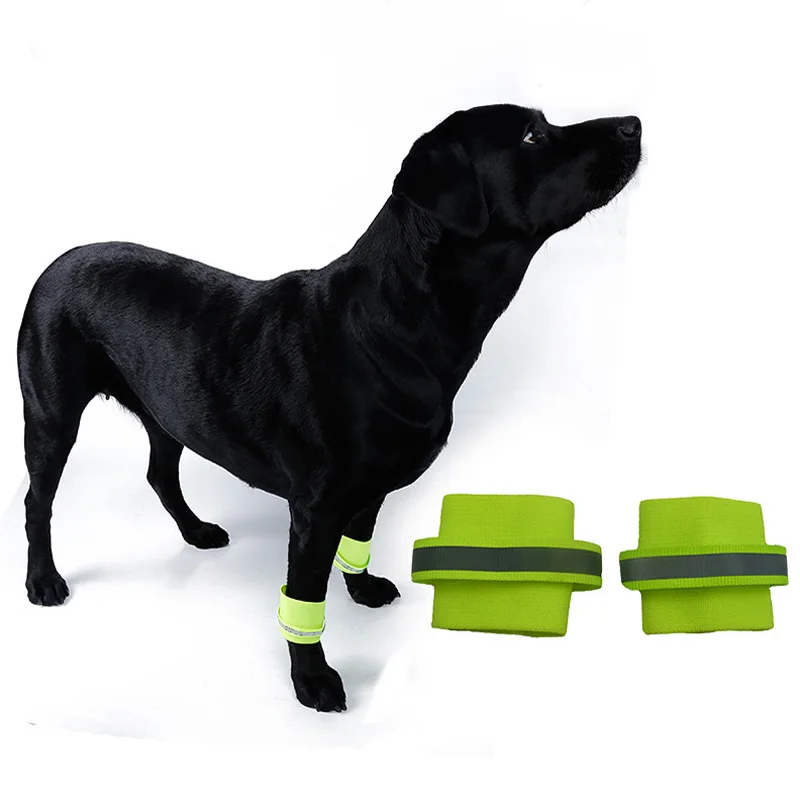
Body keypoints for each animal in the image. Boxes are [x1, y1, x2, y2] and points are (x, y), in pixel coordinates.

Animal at [17, 103, 641, 712]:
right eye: (533, 135)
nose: (632, 123)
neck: (400, 320)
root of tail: (59, 259)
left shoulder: (371, 486)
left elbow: (358, 541)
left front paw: (362, 588)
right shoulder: (317, 506)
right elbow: (303, 599)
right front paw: (312, 680)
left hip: (168, 406)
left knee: (160, 474)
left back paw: (195, 531)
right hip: (51, 413)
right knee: (37, 500)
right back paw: (44, 580)